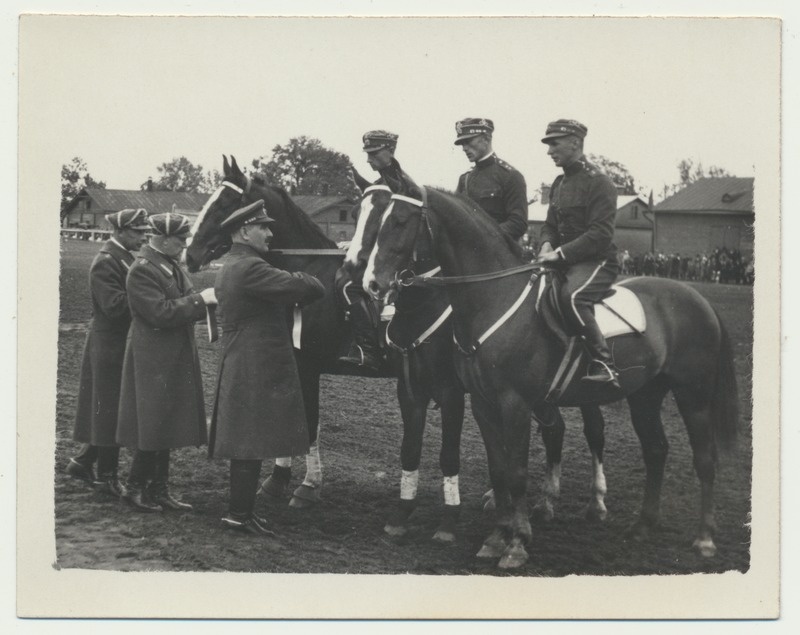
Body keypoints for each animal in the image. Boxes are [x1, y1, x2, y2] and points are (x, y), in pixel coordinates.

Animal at [362, 180, 736, 572]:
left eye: (399, 221)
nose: (372, 283)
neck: (494, 297)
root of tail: (697, 298)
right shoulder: (482, 403)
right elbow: (498, 469)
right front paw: (496, 538)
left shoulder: (514, 404)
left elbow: (516, 472)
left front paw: (517, 543)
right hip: (645, 395)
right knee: (656, 451)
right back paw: (642, 526)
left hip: (693, 396)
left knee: (704, 459)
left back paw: (704, 538)